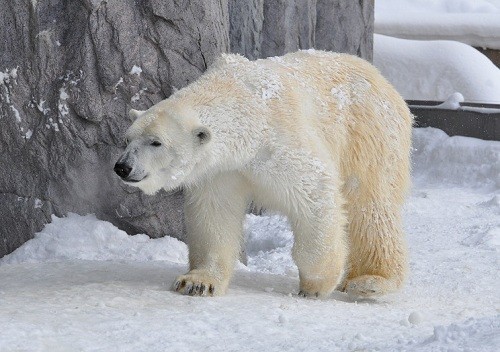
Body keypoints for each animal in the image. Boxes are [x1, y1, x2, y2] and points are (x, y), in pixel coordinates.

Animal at [115, 50, 412, 296]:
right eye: (127, 139)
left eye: (156, 142)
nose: (123, 167)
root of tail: (381, 78)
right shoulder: (221, 169)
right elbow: (214, 214)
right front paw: (197, 281)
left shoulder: (282, 143)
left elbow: (315, 193)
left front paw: (317, 284)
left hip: (369, 134)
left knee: (371, 206)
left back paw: (372, 281)